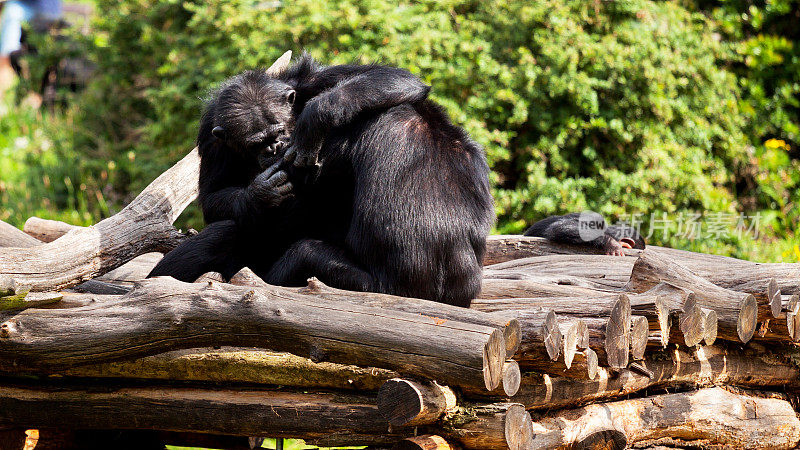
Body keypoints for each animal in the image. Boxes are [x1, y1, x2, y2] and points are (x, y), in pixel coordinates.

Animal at [146, 51, 490, 308]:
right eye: (256, 143)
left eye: (278, 131)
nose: (274, 147)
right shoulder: (211, 135)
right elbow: (214, 197)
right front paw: (261, 192)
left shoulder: (317, 81)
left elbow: (392, 77)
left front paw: (316, 117)